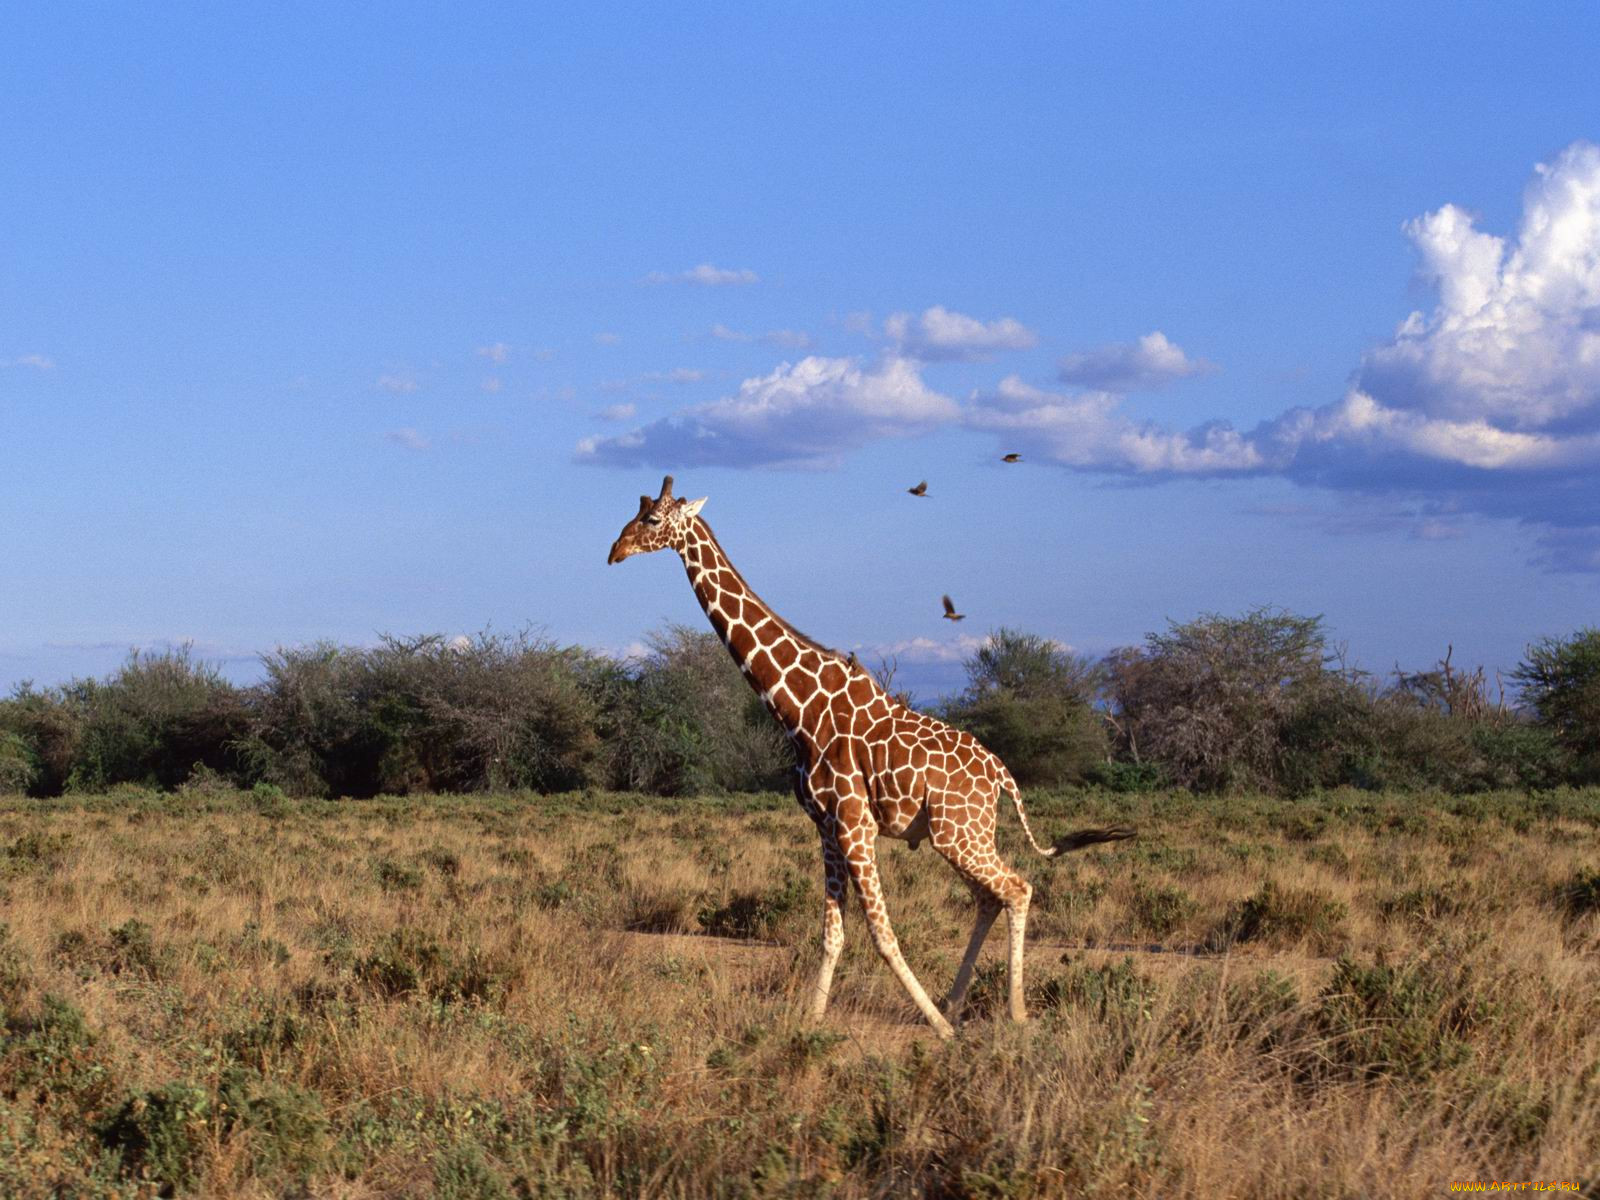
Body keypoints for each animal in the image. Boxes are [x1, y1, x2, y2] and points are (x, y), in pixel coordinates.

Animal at [604, 473, 1132, 1036]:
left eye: (651, 520)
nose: (615, 552)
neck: (798, 710)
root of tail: (1002, 775)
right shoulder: (826, 826)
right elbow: (832, 934)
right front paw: (812, 1021)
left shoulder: (856, 824)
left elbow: (883, 934)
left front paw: (936, 1029)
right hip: (961, 835)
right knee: (990, 896)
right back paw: (955, 1002)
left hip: (958, 833)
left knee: (1017, 888)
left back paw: (1011, 1013)